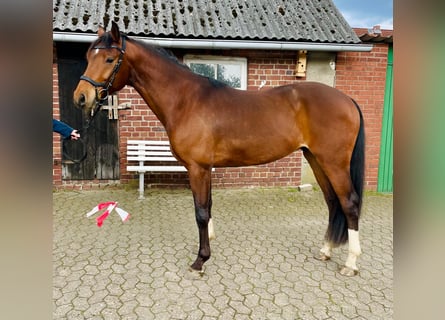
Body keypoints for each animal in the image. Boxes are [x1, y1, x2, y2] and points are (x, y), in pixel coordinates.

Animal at [73, 21, 364, 278]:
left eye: (110, 59)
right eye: (88, 56)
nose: (81, 97)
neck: (186, 100)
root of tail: (347, 99)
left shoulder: (198, 168)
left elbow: (201, 212)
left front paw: (200, 260)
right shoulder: (206, 168)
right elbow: (208, 207)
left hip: (333, 162)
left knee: (349, 203)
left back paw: (350, 263)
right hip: (315, 158)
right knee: (332, 201)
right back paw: (325, 250)